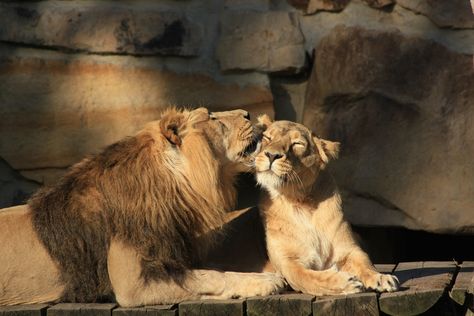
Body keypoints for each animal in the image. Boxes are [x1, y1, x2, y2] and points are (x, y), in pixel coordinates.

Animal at [0, 108, 284, 306]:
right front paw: (265, 281)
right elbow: (211, 276)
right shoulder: (131, 285)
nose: (248, 114)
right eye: (212, 118)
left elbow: (207, 273)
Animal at [254, 116, 398, 296]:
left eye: (297, 144)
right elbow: (310, 278)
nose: (272, 155)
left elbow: (365, 263)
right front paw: (346, 283)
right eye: (267, 138)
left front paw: (380, 277)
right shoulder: (288, 264)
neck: (299, 202)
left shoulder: (349, 249)